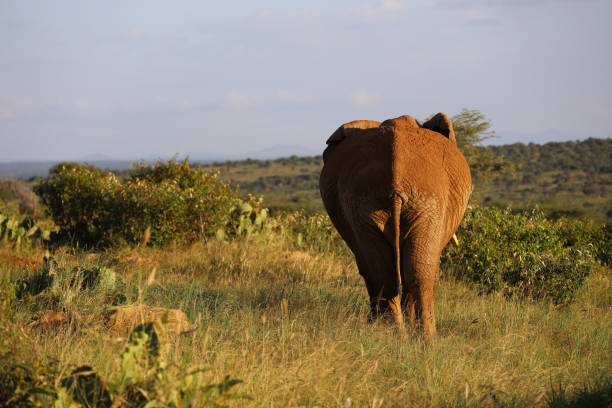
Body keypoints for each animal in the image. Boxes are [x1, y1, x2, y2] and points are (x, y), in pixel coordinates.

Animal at [318, 111, 470, 338]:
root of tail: (396, 173)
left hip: (381, 202)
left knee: (390, 272)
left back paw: (401, 335)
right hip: (423, 200)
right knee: (411, 272)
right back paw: (416, 337)